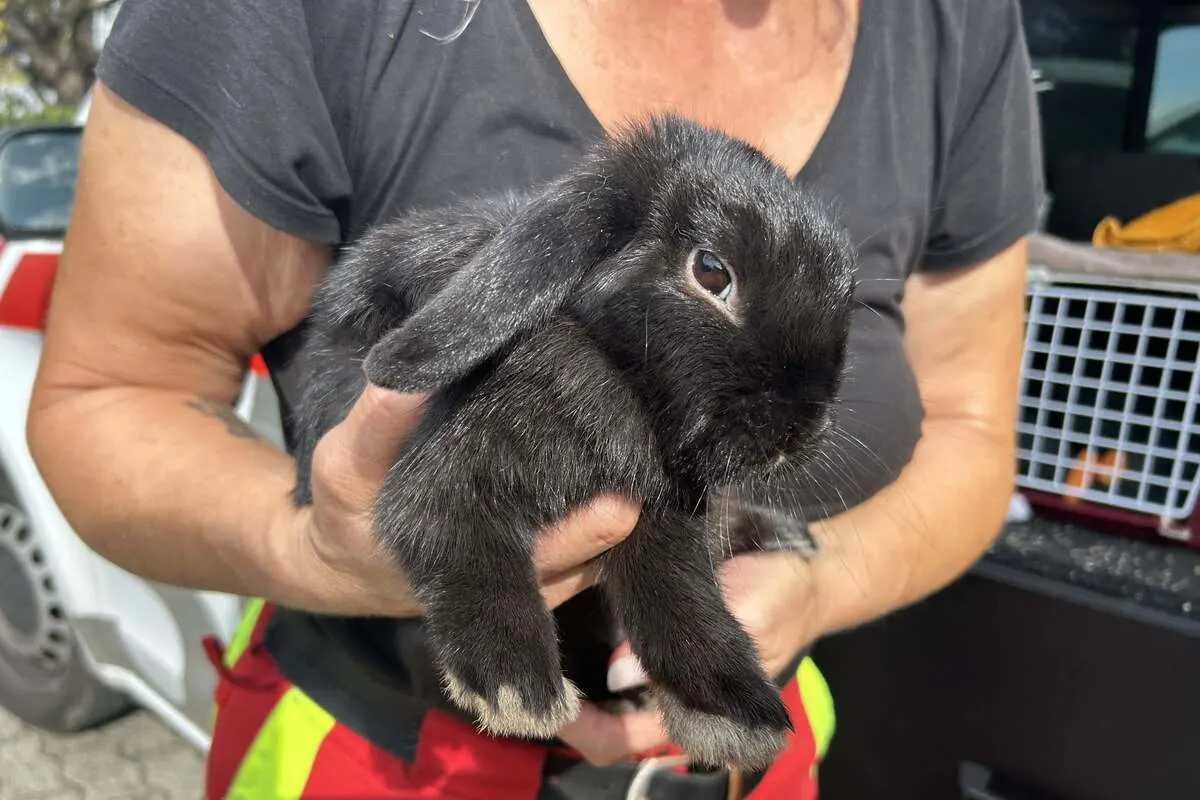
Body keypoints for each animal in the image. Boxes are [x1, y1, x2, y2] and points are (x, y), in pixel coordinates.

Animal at [288, 113, 857, 771]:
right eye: (712, 271)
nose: (800, 432)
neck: (617, 377)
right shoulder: (452, 472)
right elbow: (455, 538)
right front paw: (516, 690)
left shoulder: (659, 517)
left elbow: (681, 596)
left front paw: (735, 714)